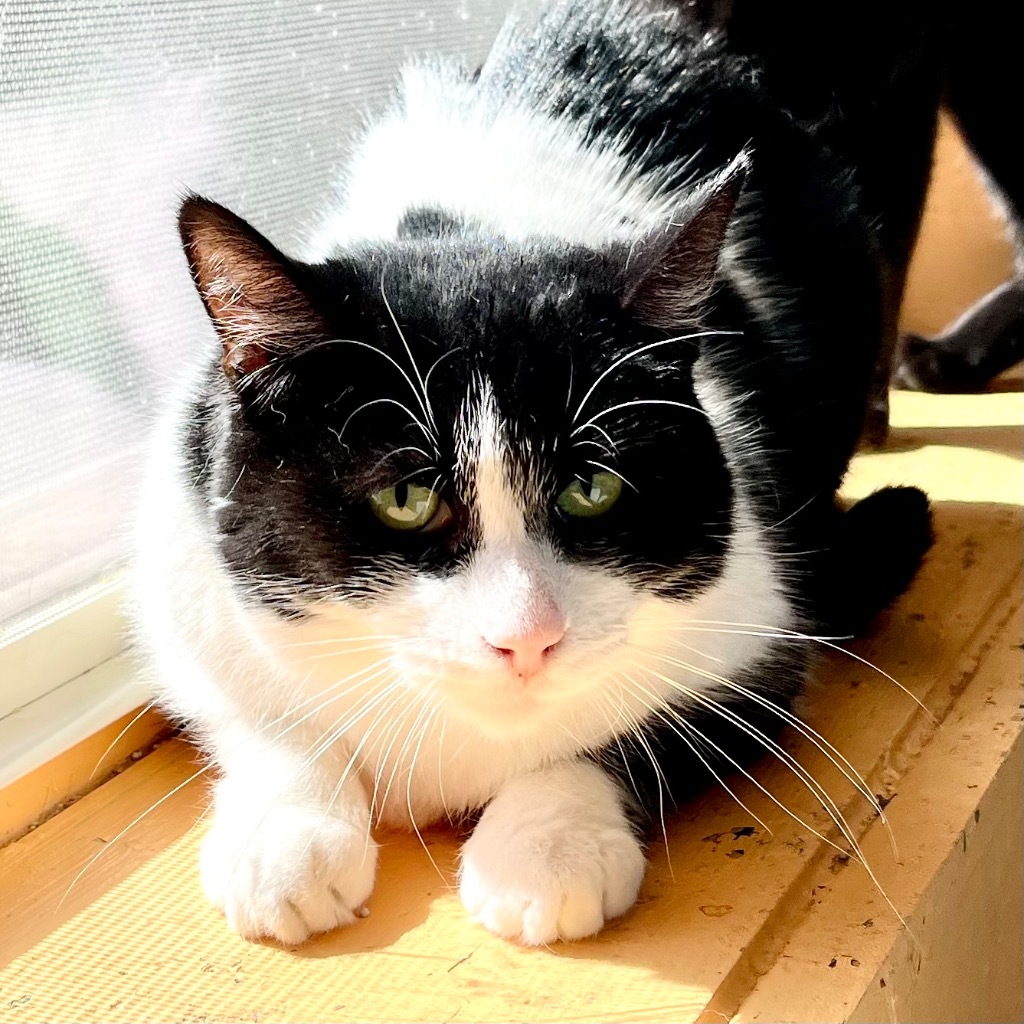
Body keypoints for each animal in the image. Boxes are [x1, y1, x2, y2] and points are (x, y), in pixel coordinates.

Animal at [134, 0, 1024, 946]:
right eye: (406, 498)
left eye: (590, 489)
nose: (526, 639)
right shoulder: (183, 579)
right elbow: (254, 712)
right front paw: (284, 840)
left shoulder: (758, 625)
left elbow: (648, 725)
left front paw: (546, 850)